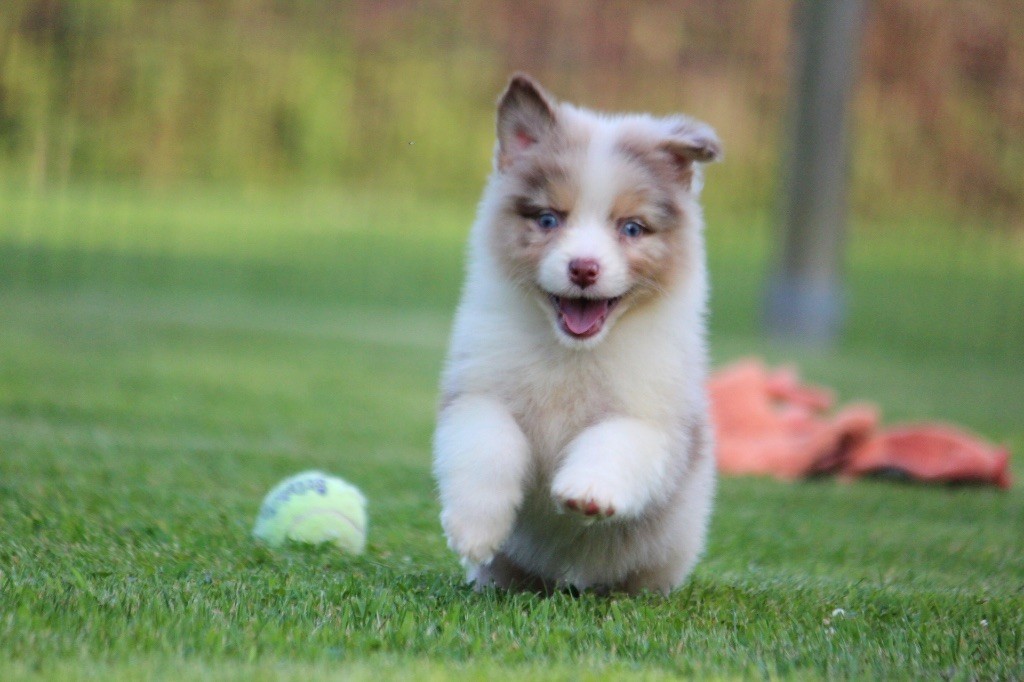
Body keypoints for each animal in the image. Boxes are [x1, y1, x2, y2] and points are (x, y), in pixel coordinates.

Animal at [432, 74, 720, 593]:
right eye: (549, 219)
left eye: (632, 228)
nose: (584, 268)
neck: (570, 352)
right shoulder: (478, 388)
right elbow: (487, 442)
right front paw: (474, 528)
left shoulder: (657, 419)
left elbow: (616, 439)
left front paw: (588, 492)